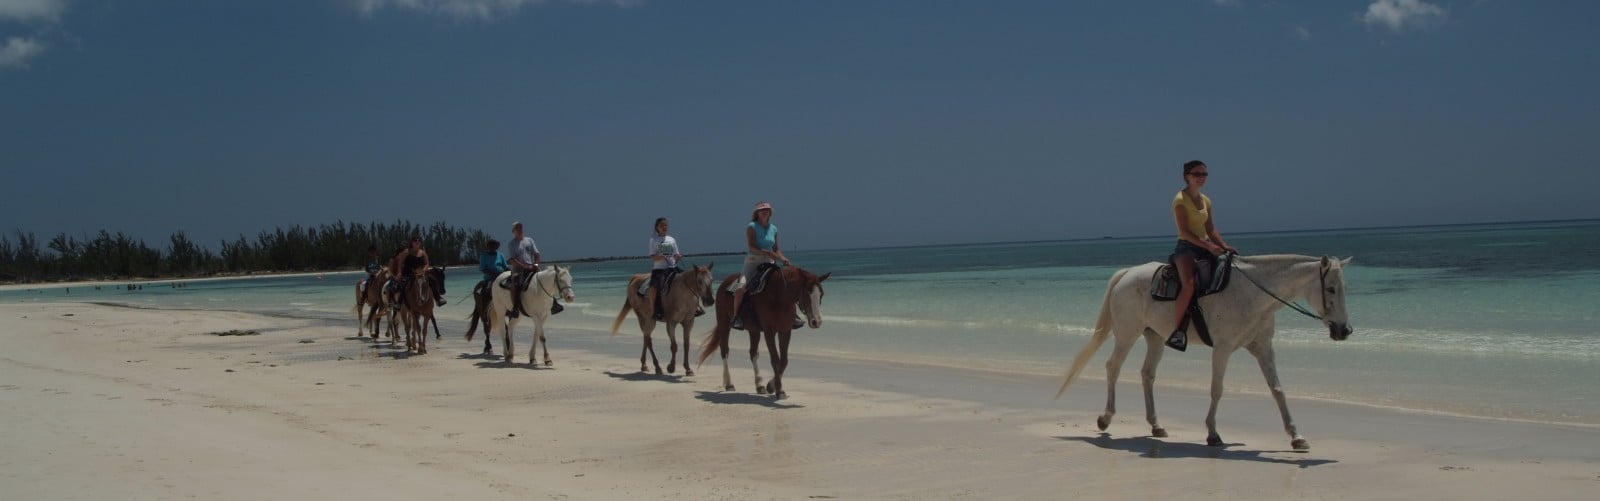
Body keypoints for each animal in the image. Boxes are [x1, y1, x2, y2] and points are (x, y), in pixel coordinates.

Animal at [694, 265, 832, 398]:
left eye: (821, 294)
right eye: (808, 293)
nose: (816, 321)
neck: (780, 296)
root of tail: (725, 282)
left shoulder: (785, 331)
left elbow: (784, 360)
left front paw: (771, 386)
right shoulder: (769, 332)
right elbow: (775, 360)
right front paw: (779, 391)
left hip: (753, 330)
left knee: (753, 353)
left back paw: (759, 385)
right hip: (724, 324)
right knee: (725, 350)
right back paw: (729, 384)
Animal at [1056, 252, 1356, 448]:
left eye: (1345, 287)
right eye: (1331, 288)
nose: (1344, 330)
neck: (1253, 295)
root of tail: (1127, 273)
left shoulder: (1262, 348)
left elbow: (1277, 390)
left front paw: (1296, 436)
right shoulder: (1222, 349)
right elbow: (1217, 389)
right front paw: (1213, 434)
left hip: (1155, 338)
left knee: (1147, 374)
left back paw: (1156, 425)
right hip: (1127, 335)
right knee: (1113, 367)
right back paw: (1105, 419)